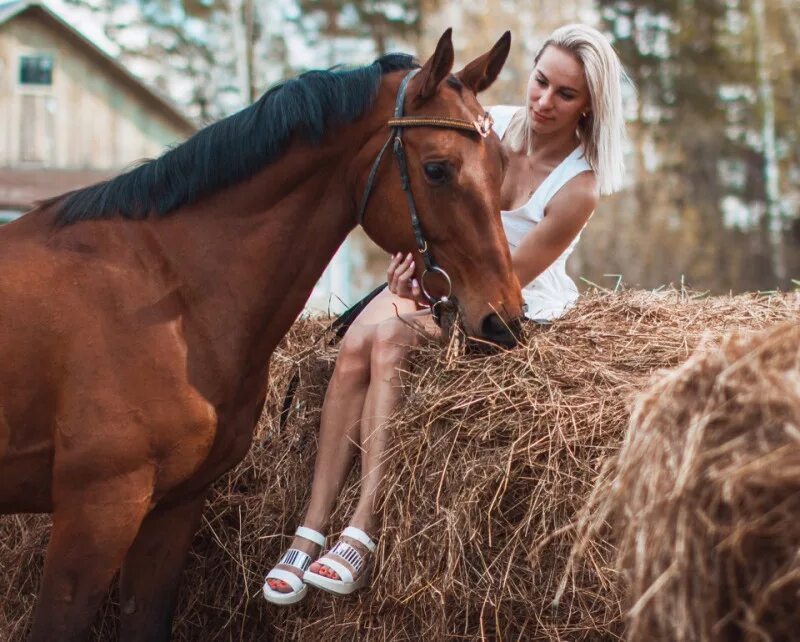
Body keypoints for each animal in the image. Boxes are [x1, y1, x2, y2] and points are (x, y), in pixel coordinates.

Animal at [0, 28, 520, 636]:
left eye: (502, 165)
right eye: (437, 169)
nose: (504, 320)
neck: (170, 292)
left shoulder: (173, 509)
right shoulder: (96, 513)